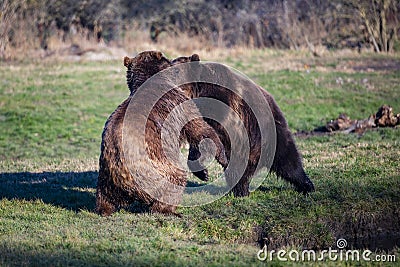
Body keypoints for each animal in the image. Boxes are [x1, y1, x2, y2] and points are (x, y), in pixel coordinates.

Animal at [95, 51, 227, 217]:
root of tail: (126, 183)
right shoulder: (178, 103)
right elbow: (199, 128)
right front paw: (222, 159)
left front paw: (203, 172)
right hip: (157, 169)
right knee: (175, 180)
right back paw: (170, 210)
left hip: (106, 176)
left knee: (104, 196)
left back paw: (104, 209)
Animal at [170, 54, 314, 197]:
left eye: (176, 70)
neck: (198, 92)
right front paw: (202, 172)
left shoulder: (221, 103)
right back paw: (240, 189)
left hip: (269, 133)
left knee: (288, 161)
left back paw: (307, 186)